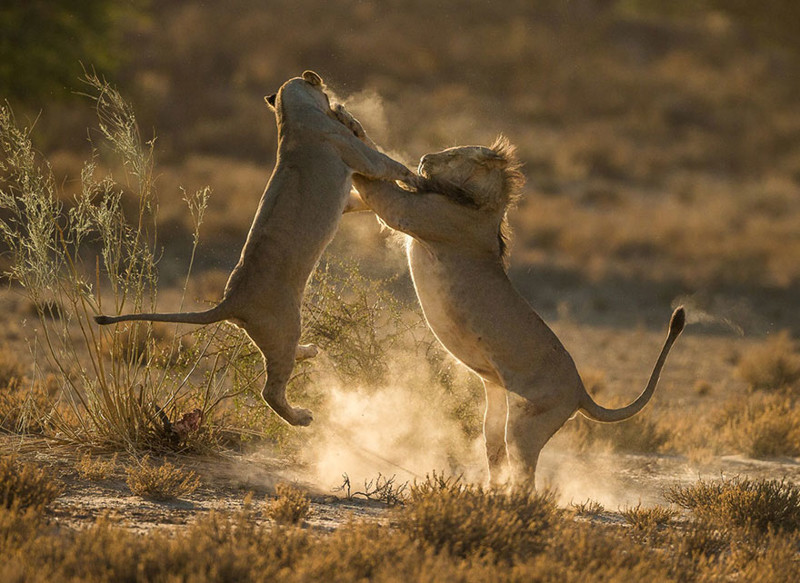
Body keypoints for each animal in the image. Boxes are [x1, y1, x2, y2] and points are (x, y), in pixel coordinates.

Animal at [95, 72, 412, 428]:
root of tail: (230, 301)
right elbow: (390, 165)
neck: (289, 118)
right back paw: (300, 417)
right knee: (270, 390)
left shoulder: (345, 197)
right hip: (286, 324)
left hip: (273, 332)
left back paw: (309, 352)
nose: (335, 101)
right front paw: (414, 178)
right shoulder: (360, 156)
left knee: (280, 364)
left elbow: (360, 201)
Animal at [346, 135, 684, 486]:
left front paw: (350, 130)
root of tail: (581, 392)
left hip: (526, 425)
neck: (479, 205)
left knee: (525, 478)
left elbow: (375, 186)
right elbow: (358, 196)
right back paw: (485, 493)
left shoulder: (408, 213)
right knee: (497, 456)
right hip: (497, 413)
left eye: (453, 155)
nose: (424, 158)